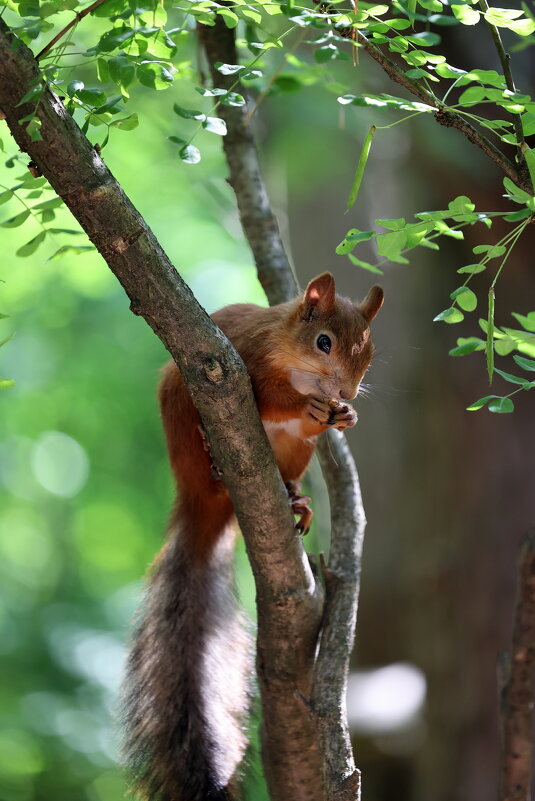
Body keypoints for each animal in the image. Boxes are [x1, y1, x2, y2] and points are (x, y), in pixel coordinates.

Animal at [122, 270, 382, 800]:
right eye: (324, 342)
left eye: (369, 351)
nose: (346, 391)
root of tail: (205, 505)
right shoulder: (247, 362)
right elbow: (270, 397)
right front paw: (308, 402)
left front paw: (345, 416)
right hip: (182, 404)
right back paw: (214, 458)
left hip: (296, 453)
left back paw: (296, 500)